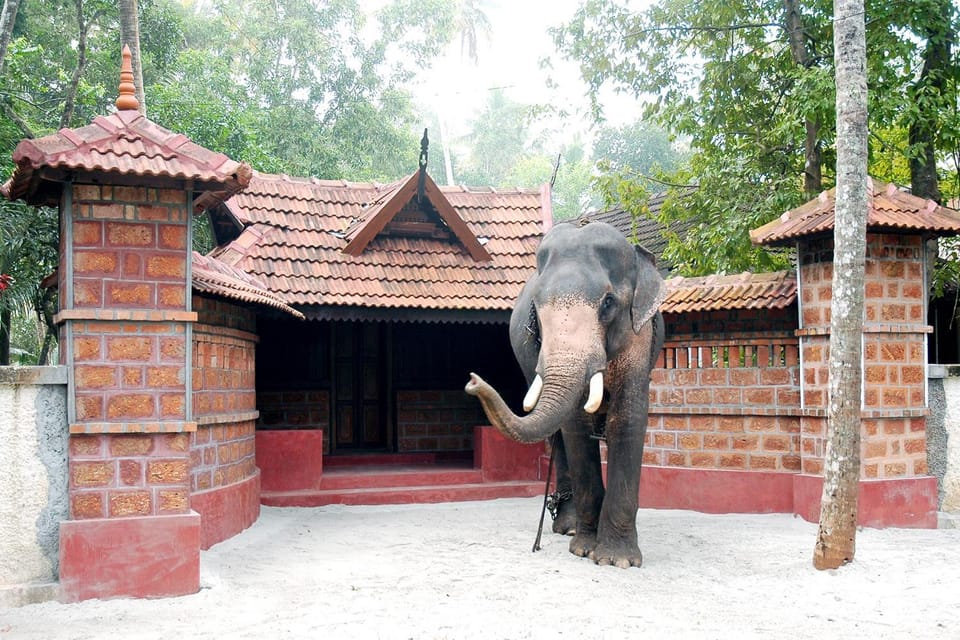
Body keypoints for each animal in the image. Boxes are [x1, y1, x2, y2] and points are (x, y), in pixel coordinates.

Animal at [465, 220, 665, 568]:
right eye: (536, 308)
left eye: (608, 303)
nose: (473, 380)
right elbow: (575, 426)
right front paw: (584, 550)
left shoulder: (639, 336)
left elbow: (627, 419)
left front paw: (617, 561)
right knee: (557, 436)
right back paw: (569, 527)